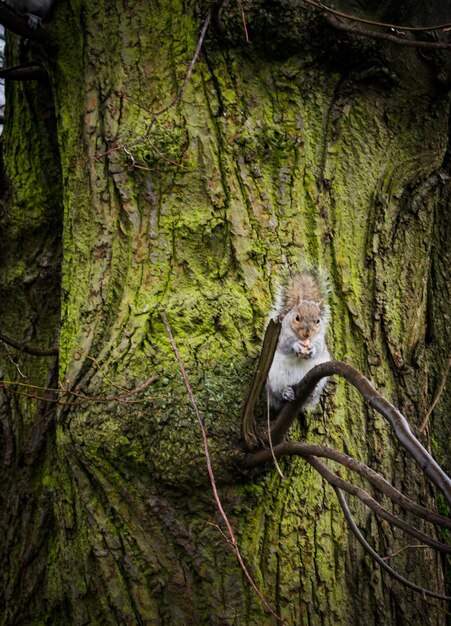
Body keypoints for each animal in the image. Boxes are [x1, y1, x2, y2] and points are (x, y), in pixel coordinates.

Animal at [264, 266, 332, 410]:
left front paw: (312, 349)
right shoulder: (281, 335)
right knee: (278, 391)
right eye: (297, 317)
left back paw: (312, 392)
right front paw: (296, 346)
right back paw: (286, 392)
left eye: (318, 321)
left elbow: (319, 348)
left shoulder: (320, 338)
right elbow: (285, 344)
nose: (307, 333)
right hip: (275, 377)